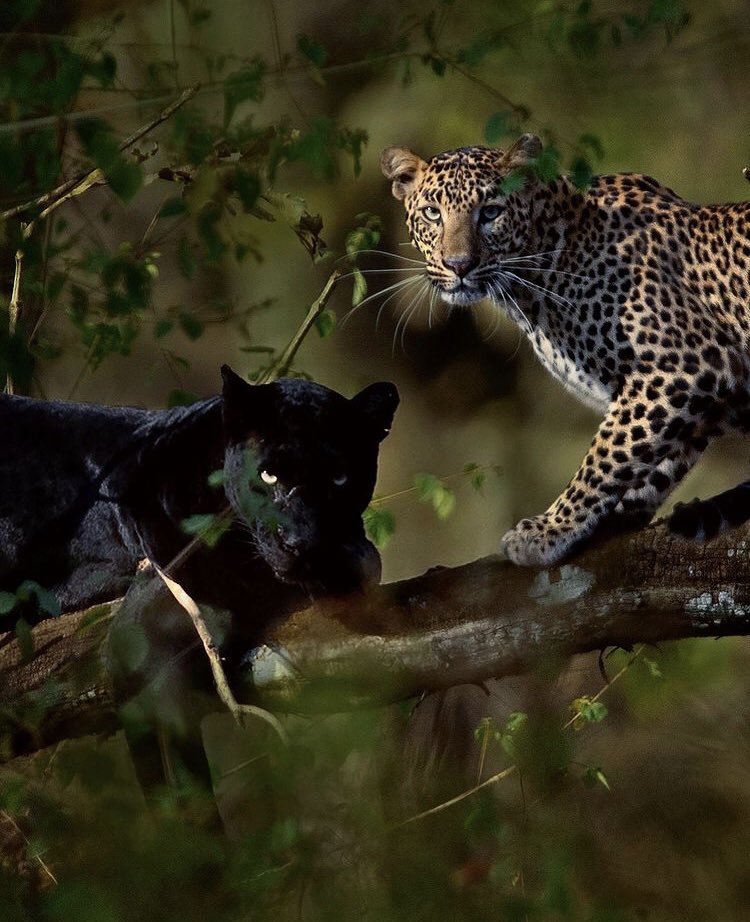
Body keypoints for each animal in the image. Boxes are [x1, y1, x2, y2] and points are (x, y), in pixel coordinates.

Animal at [384, 135, 750, 568]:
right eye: (432, 213)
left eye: (490, 213)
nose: (459, 265)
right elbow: (655, 459)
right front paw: (613, 517)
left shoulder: (683, 364)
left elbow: (607, 456)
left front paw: (550, 529)